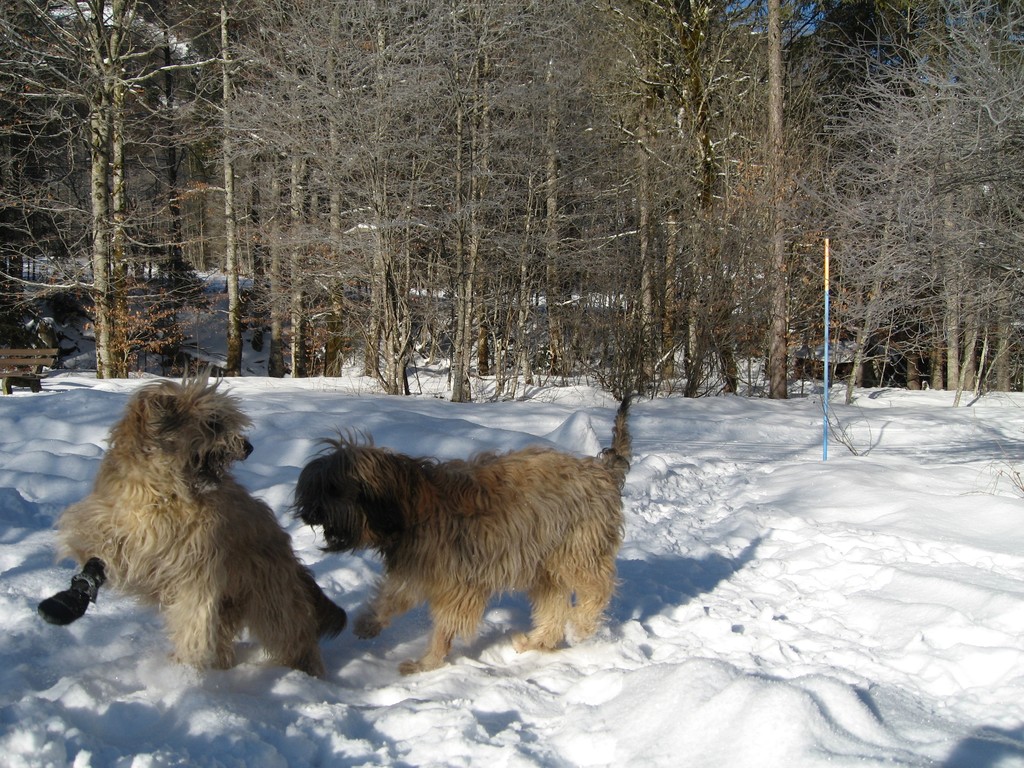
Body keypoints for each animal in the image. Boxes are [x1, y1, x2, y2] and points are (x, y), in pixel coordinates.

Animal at [39, 375, 346, 677]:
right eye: (213, 423)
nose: (248, 447)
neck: (162, 494)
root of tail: (290, 556)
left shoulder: (196, 569)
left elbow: (192, 621)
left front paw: (182, 671)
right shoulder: (110, 527)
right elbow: (97, 552)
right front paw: (76, 592)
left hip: (271, 598)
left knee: (292, 635)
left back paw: (305, 673)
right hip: (232, 602)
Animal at [294, 397, 631, 674]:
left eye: (333, 489)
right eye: (316, 487)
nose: (308, 512)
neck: (410, 507)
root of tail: (602, 471)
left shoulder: (456, 583)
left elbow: (445, 623)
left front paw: (426, 663)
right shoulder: (418, 568)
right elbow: (393, 596)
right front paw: (370, 623)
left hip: (577, 551)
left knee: (597, 589)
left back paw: (581, 626)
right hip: (545, 567)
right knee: (554, 610)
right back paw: (534, 641)